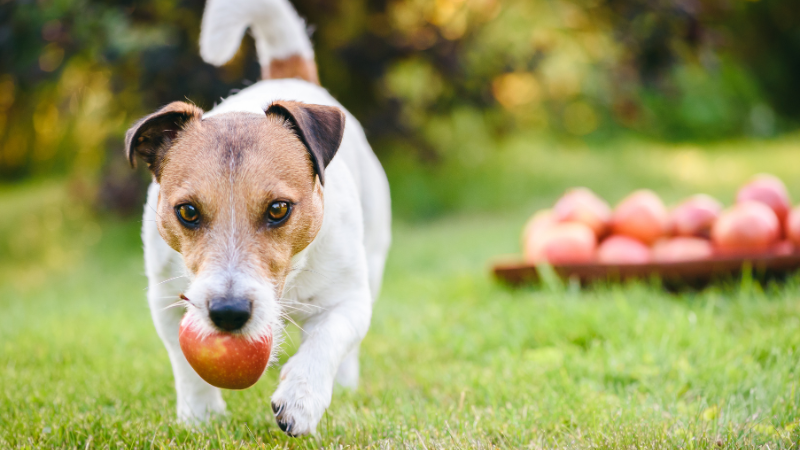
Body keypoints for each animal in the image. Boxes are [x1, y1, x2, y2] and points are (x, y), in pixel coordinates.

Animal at [121, 0, 390, 436]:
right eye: (188, 211)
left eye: (278, 209)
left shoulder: (349, 298)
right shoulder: (165, 301)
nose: (229, 313)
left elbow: (329, 338)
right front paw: (199, 417)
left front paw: (301, 397)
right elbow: (186, 366)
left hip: (376, 254)